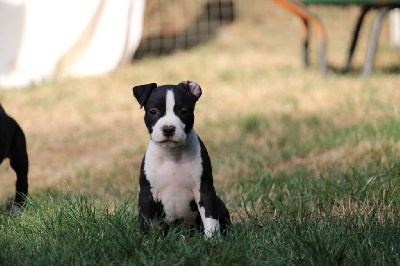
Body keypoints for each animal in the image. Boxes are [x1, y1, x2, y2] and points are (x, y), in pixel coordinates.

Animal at [133, 80, 230, 237]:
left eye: (184, 112)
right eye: (153, 111)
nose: (168, 129)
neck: (172, 154)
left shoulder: (205, 190)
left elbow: (210, 218)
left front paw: (212, 239)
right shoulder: (147, 195)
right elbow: (146, 221)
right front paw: (148, 240)